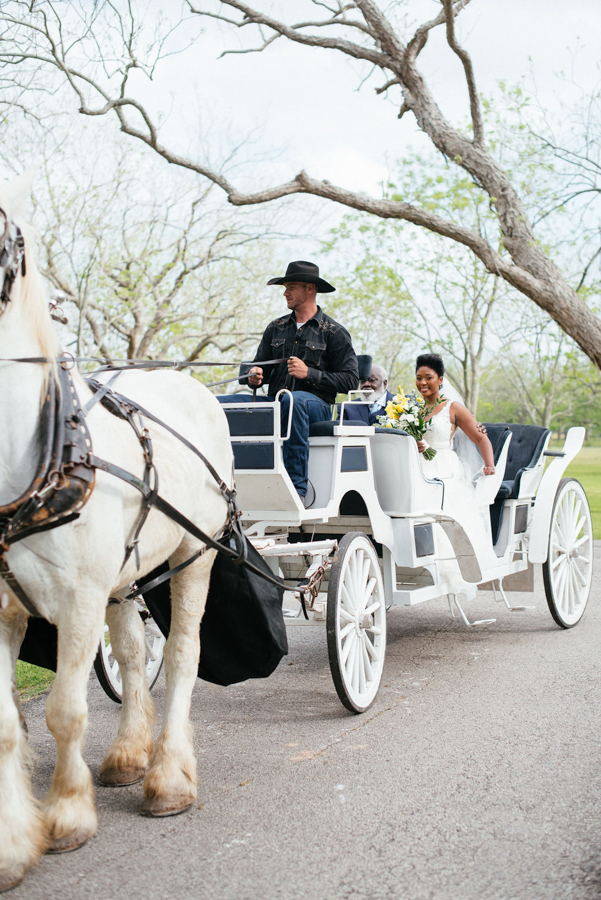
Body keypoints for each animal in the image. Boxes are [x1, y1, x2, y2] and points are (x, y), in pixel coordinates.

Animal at [0, 178, 233, 892]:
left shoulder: (77, 599)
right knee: (133, 657)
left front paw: (67, 816)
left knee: (181, 655)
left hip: (195, 555)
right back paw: (130, 754)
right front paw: (12, 845)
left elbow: (64, 711)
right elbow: (6, 723)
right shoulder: (5, 607)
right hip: (126, 576)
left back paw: (167, 778)